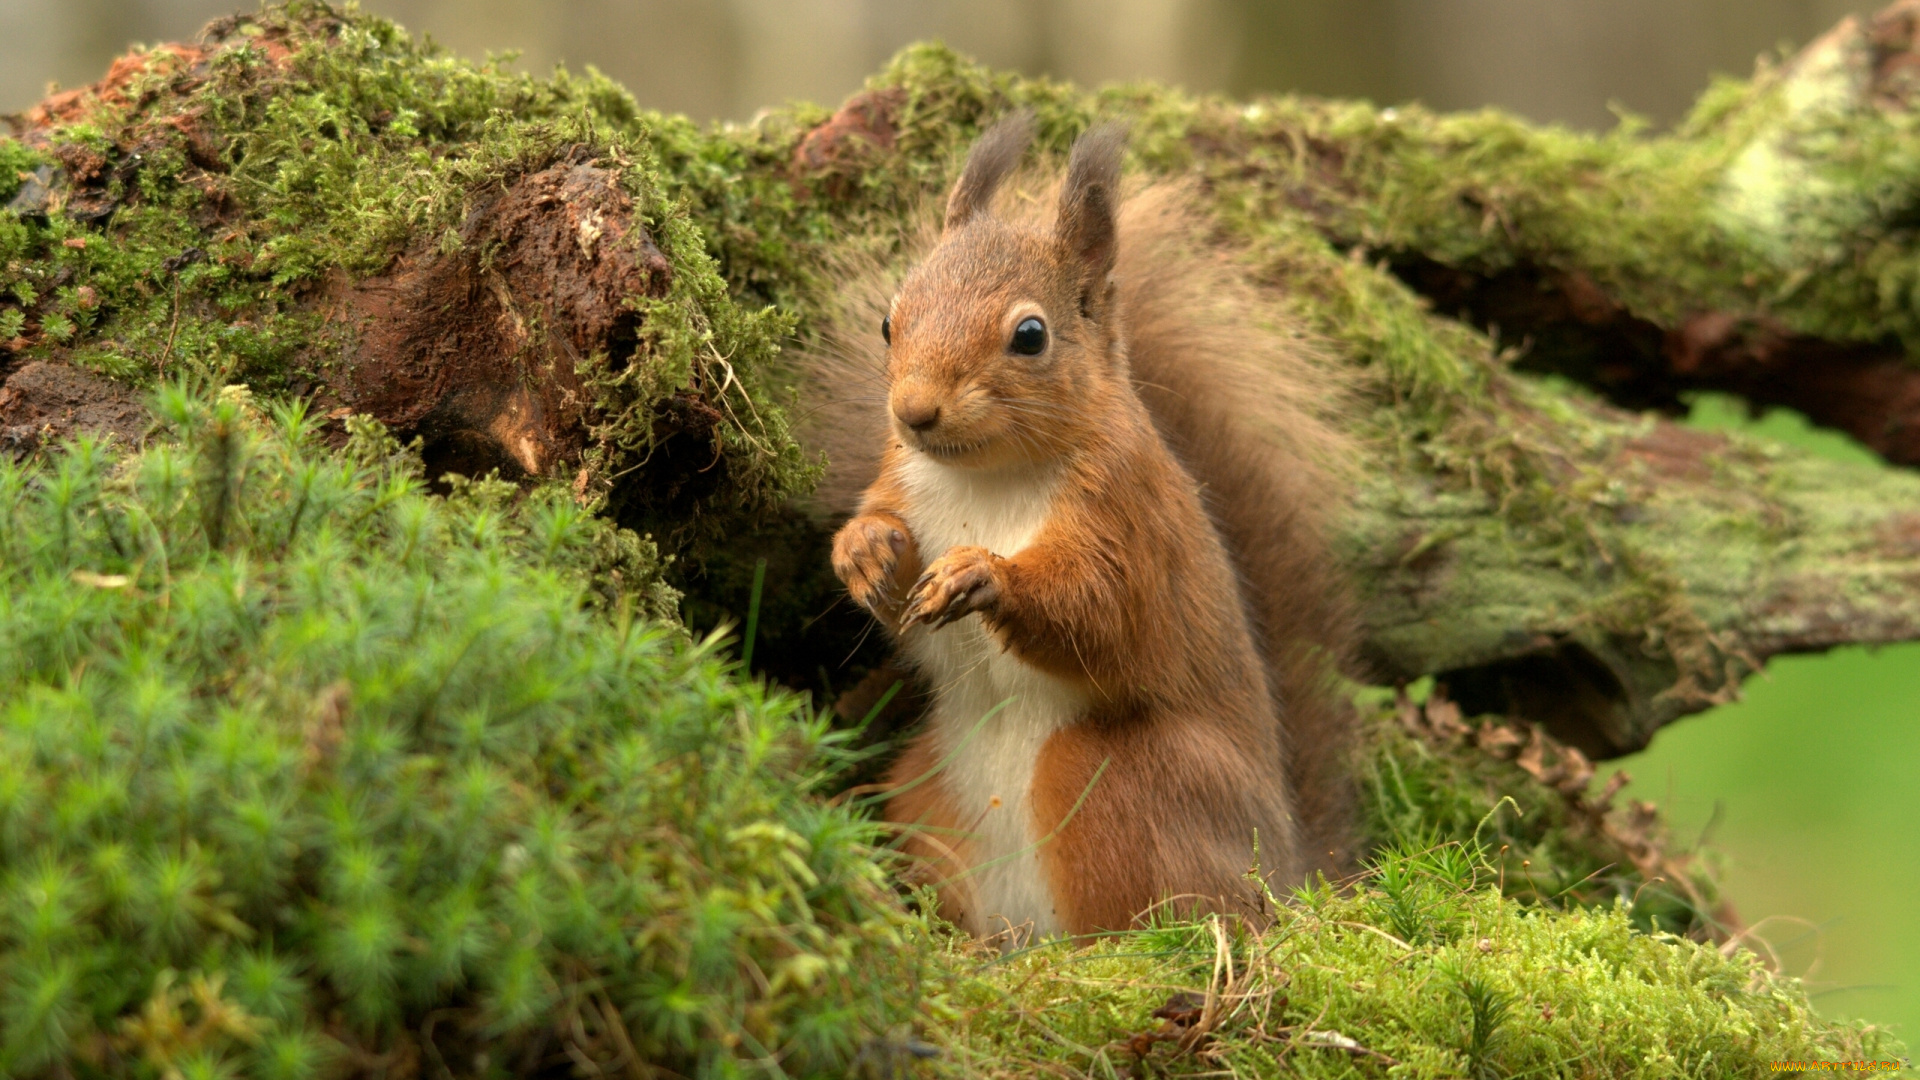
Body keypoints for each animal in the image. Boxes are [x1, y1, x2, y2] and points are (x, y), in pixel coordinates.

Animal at [817, 117, 1359, 937]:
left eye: (1030, 335)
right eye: (889, 319)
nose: (913, 411)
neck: (988, 479)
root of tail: (1285, 866)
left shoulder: (1125, 517)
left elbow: (1101, 611)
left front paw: (985, 574)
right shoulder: (900, 481)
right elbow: (887, 548)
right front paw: (864, 550)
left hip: (1117, 782)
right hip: (923, 792)